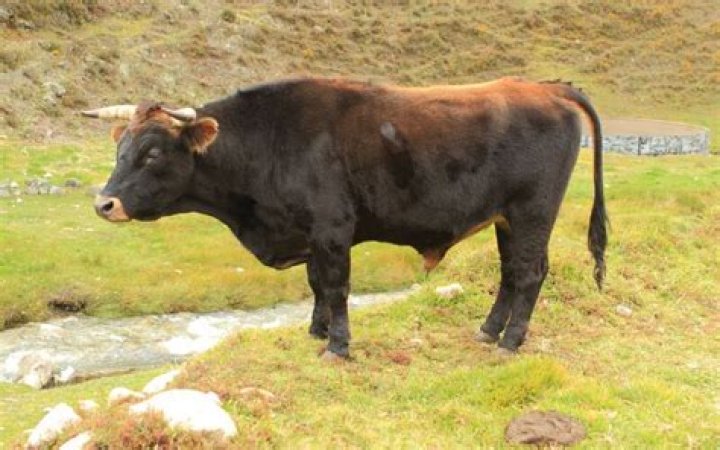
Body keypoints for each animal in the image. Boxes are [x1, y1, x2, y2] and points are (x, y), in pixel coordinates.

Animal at [82, 77, 607, 360]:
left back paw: (510, 341)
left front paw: (337, 346)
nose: (104, 203)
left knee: (529, 273)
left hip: (532, 212)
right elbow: (316, 284)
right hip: (505, 219)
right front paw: (315, 331)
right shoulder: (311, 234)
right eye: (121, 148)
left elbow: (335, 287)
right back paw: (487, 330)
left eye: (152, 153)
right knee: (510, 273)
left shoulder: (332, 228)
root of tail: (545, 88)